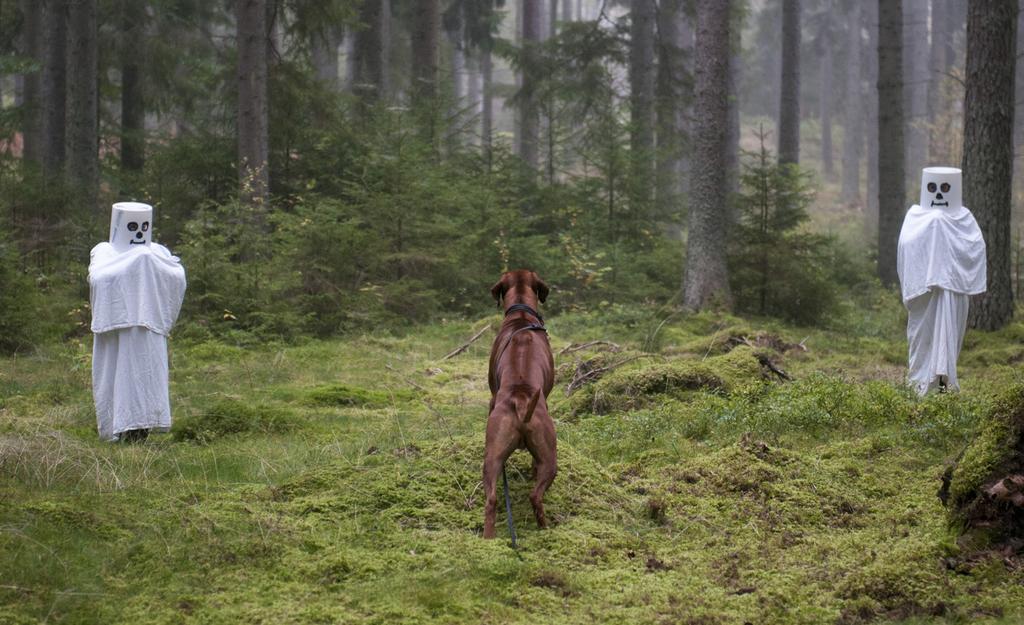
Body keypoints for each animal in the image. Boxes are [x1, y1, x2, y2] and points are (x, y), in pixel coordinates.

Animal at [483, 268, 557, 536]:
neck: (521, 314)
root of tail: (522, 402)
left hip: (492, 456)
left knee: (492, 499)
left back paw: (488, 538)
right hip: (551, 458)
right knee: (535, 496)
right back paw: (545, 529)